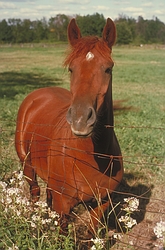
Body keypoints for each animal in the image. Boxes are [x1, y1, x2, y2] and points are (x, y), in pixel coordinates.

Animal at [15, 18, 123, 233]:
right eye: (72, 68)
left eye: (108, 68)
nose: (80, 119)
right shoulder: (63, 204)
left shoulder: (102, 203)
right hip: (27, 166)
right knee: (34, 191)